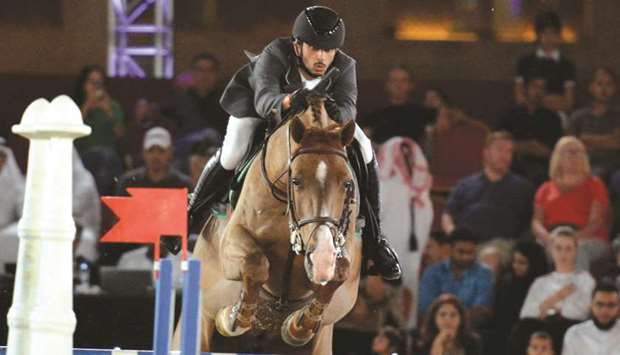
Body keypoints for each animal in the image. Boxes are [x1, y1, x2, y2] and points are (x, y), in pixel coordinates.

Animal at [172, 96, 364, 354]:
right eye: (296, 180)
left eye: (346, 183)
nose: (321, 257)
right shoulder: (233, 241)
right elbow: (255, 264)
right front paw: (235, 316)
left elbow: (339, 271)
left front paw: (298, 325)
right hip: (199, 323)